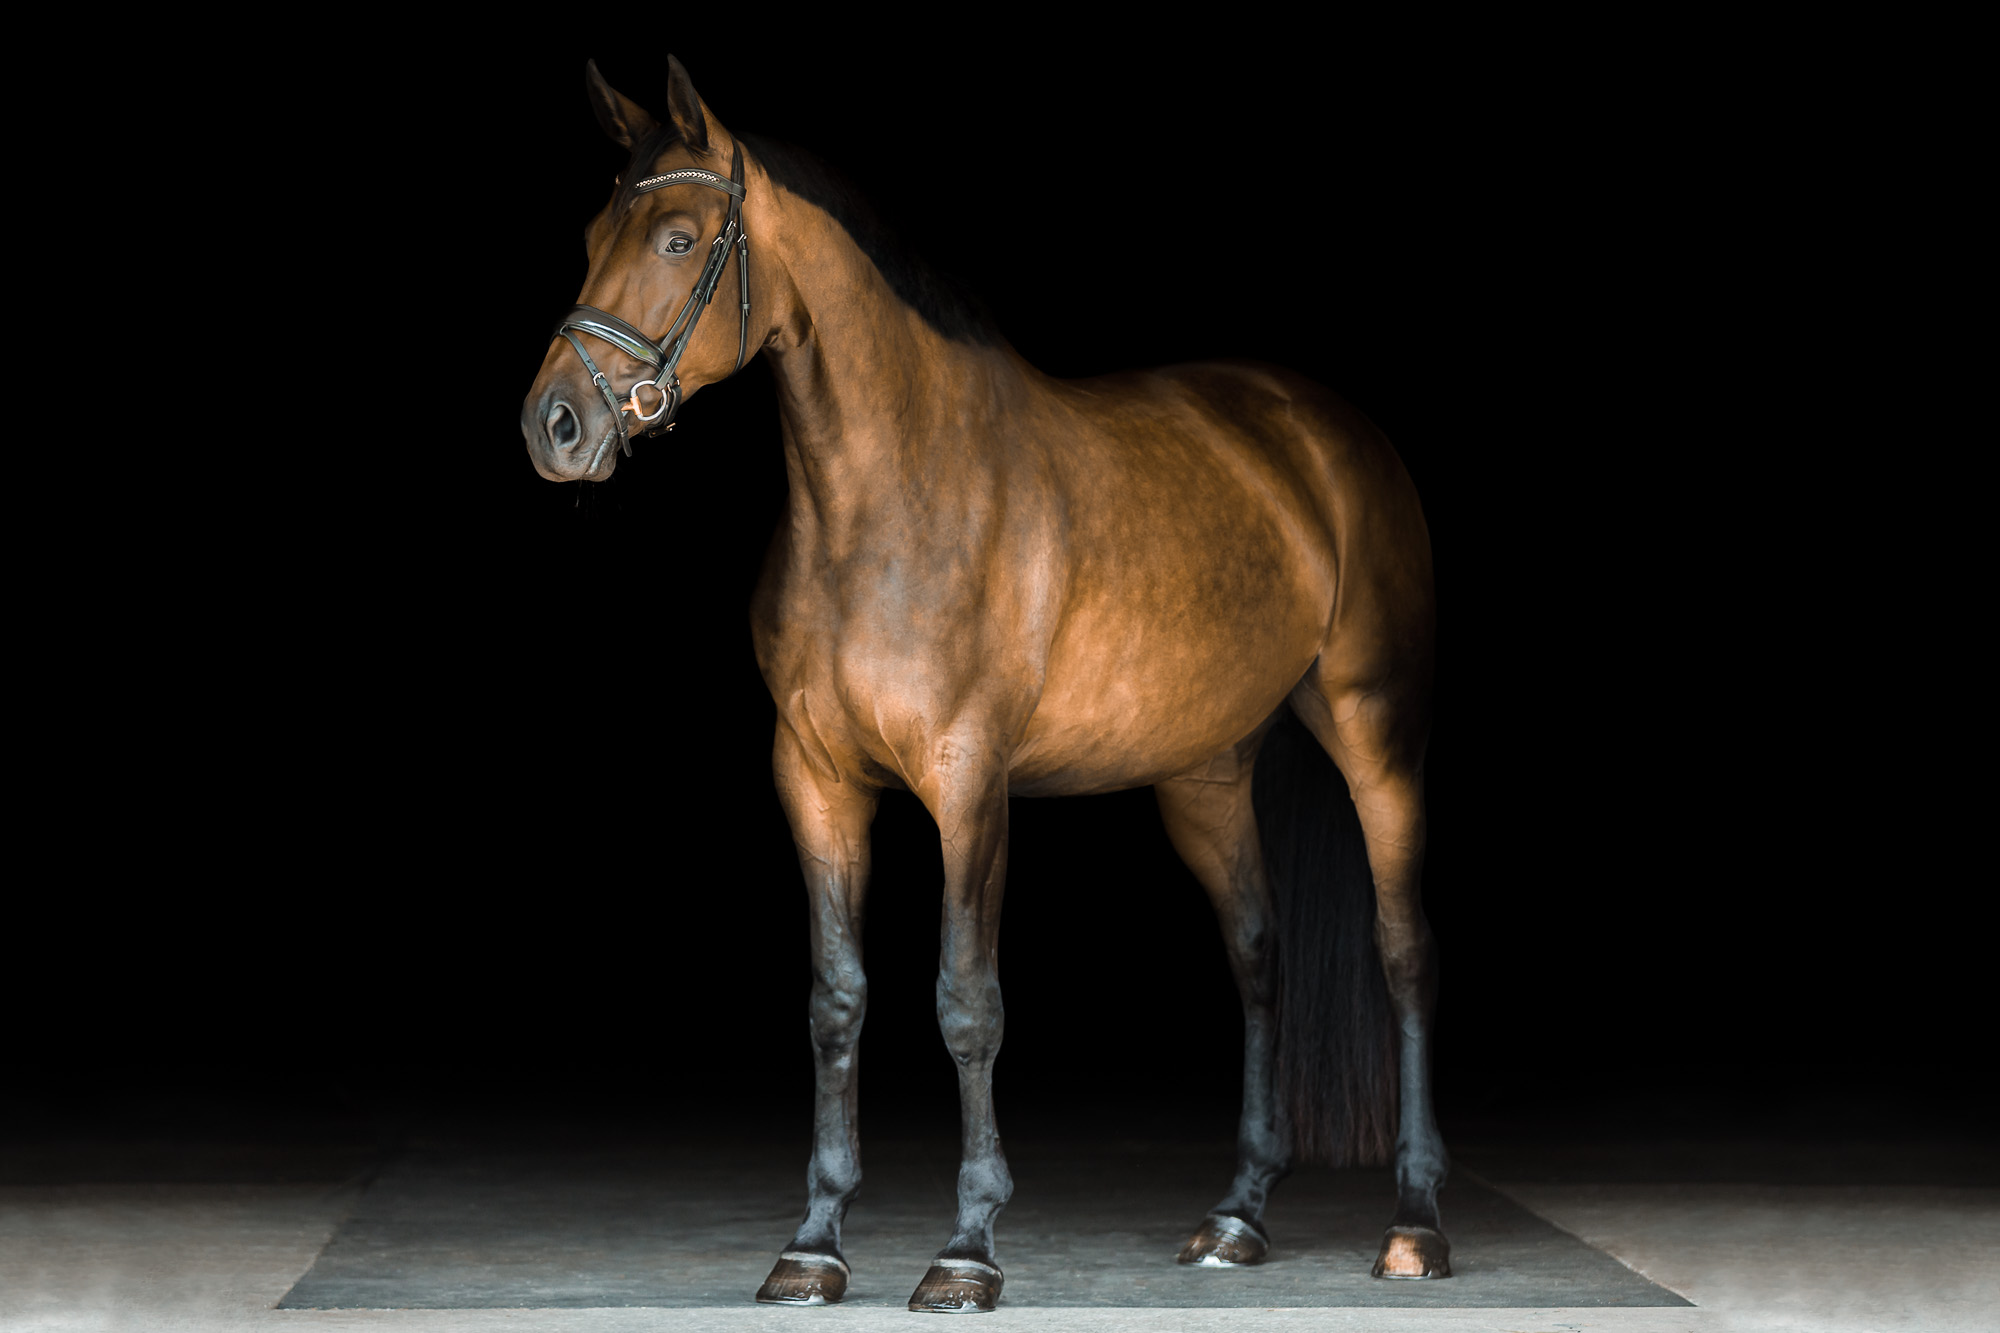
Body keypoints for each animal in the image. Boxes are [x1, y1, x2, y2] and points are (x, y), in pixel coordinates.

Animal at [520, 56, 1448, 1313]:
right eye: (588, 234)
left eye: (675, 238)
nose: (554, 426)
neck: (892, 500)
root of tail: (1320, 429)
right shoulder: (813, 779)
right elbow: (835, 999)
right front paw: (813, 1242)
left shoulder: (968, 785)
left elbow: (966, 1001)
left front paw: (966, 1249)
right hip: (1203, 774)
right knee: (1257, 953)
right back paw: (1236, 1216)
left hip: (1373, 732)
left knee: (1403, 953)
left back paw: (1413, 1227)